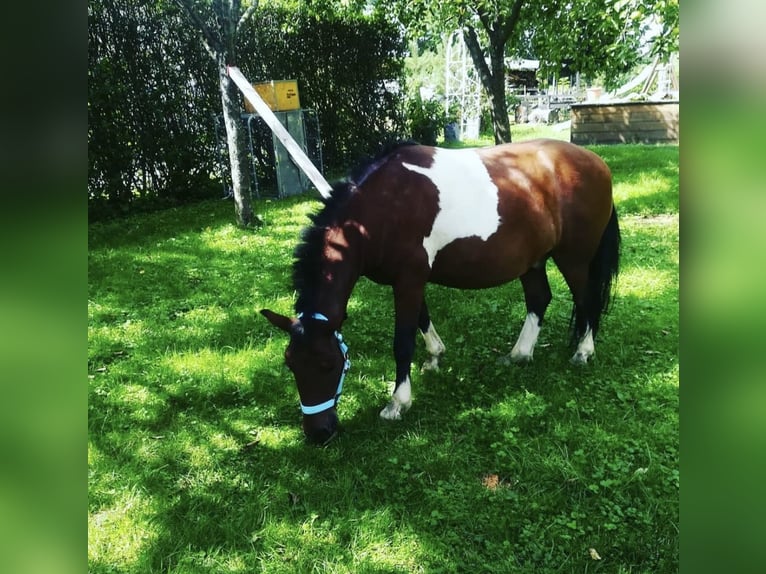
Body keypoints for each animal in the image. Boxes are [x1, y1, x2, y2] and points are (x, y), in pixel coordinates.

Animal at [261, 139, 620, 445]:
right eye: (291, 364)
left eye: (327, 364)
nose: (318, 433)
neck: (381, 207)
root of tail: (597, 163)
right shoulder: (408, 280)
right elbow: (422, 319)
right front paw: (435, 357)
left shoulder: (409, 279)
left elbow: (402, 342)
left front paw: (398, 403)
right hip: (532, 261)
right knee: (539, 299)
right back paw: (519, 354)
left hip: (574, 258)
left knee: (586, 299)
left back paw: (583, 352)